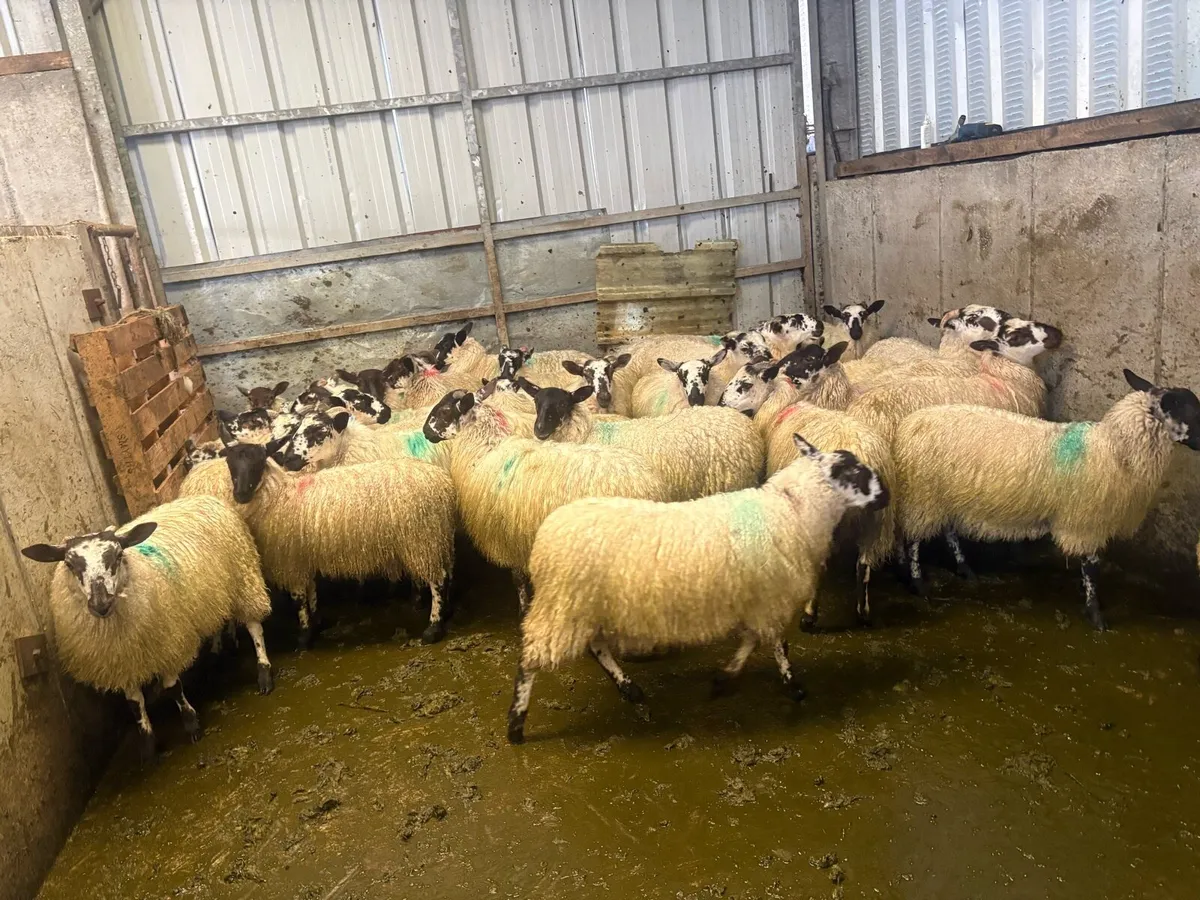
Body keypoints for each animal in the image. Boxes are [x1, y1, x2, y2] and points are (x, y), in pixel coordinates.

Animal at [20, 495, 274, 760]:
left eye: (118, 555)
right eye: (70, 564)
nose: (101, 604)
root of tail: (201, 497)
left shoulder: (168, 643)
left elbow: (173, 687)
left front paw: (191, 724)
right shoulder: (123, 661)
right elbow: (134, 704)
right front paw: (148, 744)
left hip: (244, 577)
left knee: (255, 627)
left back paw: (263, 673)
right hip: (213, 591)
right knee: (218, 617)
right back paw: (218, 649)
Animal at [180, 436, 457, 647]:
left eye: (258, 462)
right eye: (230, 463)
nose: (240, 494)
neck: (278, 497)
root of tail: (443, 483)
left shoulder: (290, 559)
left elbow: (298, 598)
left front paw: (304, 635)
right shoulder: (303, 554)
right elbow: (311, 589)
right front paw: (317, 620)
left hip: (422, 539)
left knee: (438, 581)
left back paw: (433, 628)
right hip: (436, 538)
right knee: (447, 572)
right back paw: (443, 611)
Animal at [422, 386, 667, 612]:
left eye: (445, 411)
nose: (425, 432)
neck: (485, 449)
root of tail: (649, 484)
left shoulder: (507, 536)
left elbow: (518, 579)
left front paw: (523, 609)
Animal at [505, 436, 889, 743]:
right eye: (852, 472)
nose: (885, 496)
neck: (793, 511)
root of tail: (547, 534)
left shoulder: (758, 599)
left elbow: (751, 642)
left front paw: (724, 678)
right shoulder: (771, 598)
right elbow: (778, 644)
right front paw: (794, 687)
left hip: (584, 605)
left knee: (597, 646)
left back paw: (629, 688)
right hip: (564, 605)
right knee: (531, 660)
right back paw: (516, 725)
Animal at [892, 369, 1200, 629]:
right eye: (1185, 408)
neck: (1115, 450)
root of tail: (909, 424)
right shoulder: (1086, 522)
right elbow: (1091, 567)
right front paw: (1095, 614)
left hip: (944, 494)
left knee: (948, 530)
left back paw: (964, 569)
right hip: (923, 495)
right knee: (914, 539)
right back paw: (919, 584)